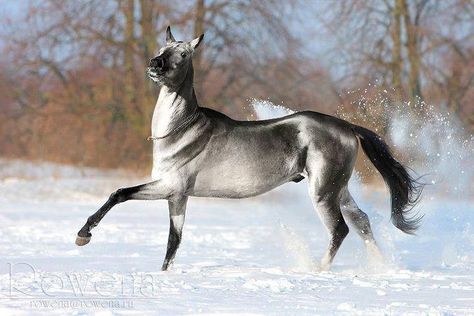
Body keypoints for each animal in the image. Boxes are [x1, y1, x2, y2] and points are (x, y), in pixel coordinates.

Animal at [76, 26, 424, 272]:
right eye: (161, 49)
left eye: (184, 54)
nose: (155, 64)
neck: (181, 130)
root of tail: (348, 127)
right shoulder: (177, 196)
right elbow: (173, 242)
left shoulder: (170, 186)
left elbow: (119, 194)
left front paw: (84, 235)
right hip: (339, 189)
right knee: (361, 222)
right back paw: (380, 268)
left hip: (323, 191)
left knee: (340, 229)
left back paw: (316, 269)